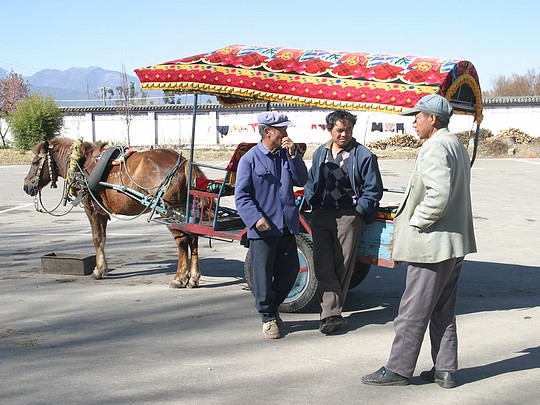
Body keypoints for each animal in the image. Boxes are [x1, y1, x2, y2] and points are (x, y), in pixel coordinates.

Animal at [23, 136, 205, 288]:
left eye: (34, 162)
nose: (26, 186)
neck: (82, 164)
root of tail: (183, 163)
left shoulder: (91, 209)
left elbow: (96, 238)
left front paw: (98, 270)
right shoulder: (102, 212)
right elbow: (102, 239)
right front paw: (102, 267)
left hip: (170, 212)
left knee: (182, 241)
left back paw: (179, 278)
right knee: (193, 238)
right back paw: (193, 277)